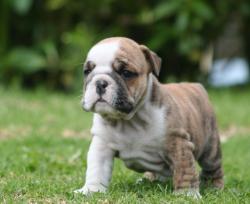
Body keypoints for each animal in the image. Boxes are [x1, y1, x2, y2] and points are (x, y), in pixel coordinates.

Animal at [74, 37, 225, 198]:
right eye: (87, 71)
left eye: (126, 73)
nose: (100, 82)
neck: (129, 120)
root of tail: (196, 85)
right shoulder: (101, 145)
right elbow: (96, 170)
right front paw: (91, 190)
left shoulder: (178, 144)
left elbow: (184, 171)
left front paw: (187, 194)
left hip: (210, 149)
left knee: (213, 168)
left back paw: (214, 187)